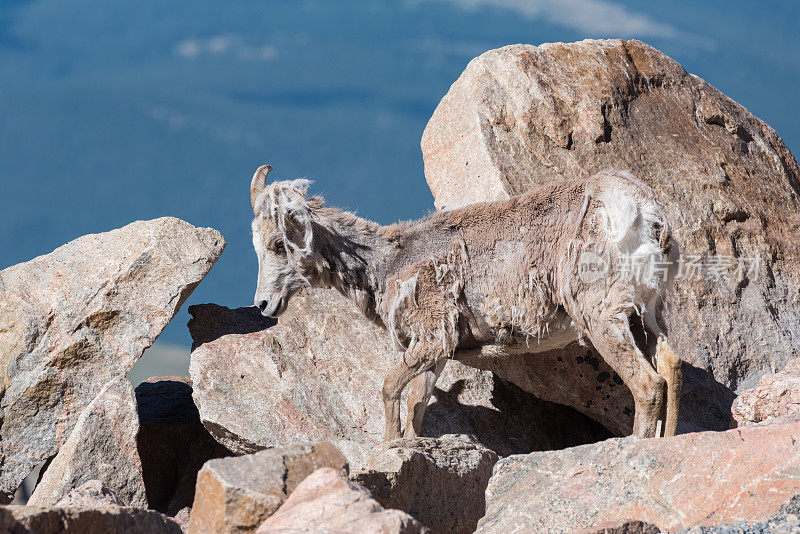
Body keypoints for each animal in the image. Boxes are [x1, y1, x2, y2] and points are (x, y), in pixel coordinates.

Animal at [250, 166, 680, 440]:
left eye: (279, 244)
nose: (264, 305)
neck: (387, 264)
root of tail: (644, 213)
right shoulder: (439, 352)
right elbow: (418, 405)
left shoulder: (430, 339)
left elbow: (391, 389)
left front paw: (389, 446)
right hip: (647, 315)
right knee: (670, 366)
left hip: (601, 317)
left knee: (648, 384)